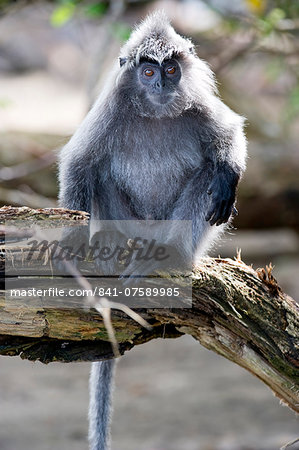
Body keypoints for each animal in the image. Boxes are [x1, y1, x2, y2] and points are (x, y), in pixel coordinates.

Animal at [58, 10, 248, 450]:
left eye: (171, 69)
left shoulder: (199, 105)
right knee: (99, 173)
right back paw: (115, 246)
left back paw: (170, 255)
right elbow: (78, 165)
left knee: (208, 176)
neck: (156, 113)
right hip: (128, 220)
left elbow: (229, 134)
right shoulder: (109, 109)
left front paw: (230, 173)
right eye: (148, 72)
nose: (162, 83)